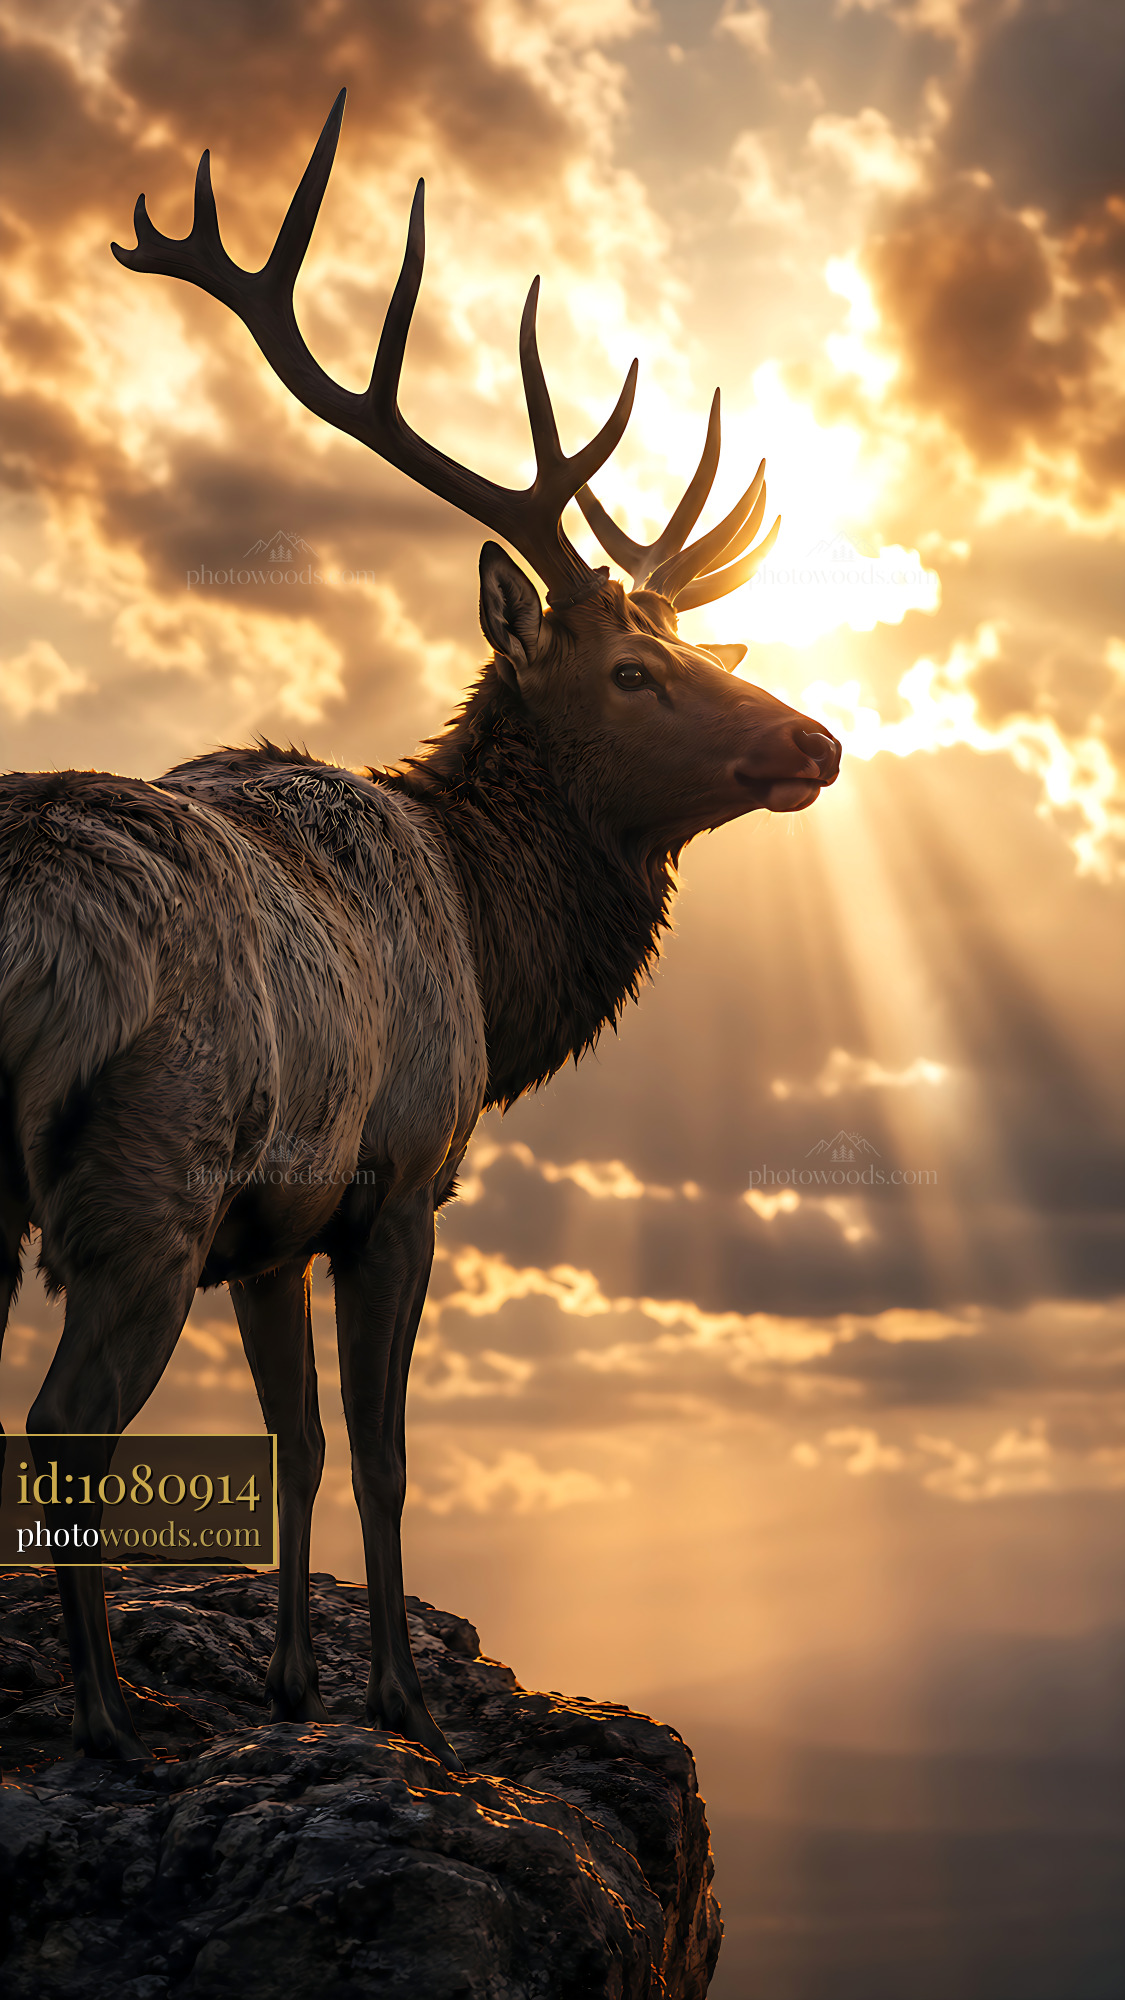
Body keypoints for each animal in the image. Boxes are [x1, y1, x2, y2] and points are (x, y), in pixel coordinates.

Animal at [0, 91, 840, 1766]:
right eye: (631, 675)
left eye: (695, 651)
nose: (817, 739)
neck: (490, 953)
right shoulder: (397, 1180)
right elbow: (384, 1448)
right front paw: (404, 1709)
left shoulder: (271, 1232)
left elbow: (299, 1440)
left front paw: (290, 1687)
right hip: (140, 1176)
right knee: (62, 1426)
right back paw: (116, 1720)